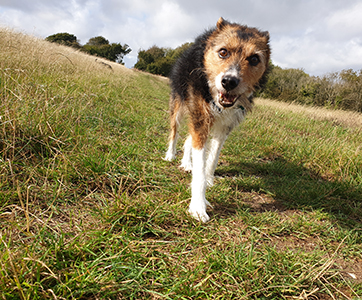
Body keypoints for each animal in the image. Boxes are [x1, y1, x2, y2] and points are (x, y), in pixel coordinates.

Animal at [165, 17, 270, 223]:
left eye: (254, 59)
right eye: (223, 52)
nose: (229, 81)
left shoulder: (224, 127)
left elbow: (212, 158)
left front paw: (208, 179)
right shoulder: (200, 117)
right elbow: (200, 162)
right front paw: (198, 207)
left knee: (189, 139)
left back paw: (186, 163)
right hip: (179, 104)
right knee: (175, 130)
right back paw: (171, 155)